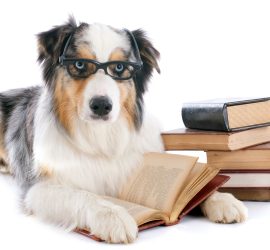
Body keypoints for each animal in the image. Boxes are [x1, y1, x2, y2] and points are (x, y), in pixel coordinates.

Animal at [0, 17, 248, 242]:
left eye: (119, 68)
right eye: (79, 64)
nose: (101, 105)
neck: (101, 136)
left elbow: (194, 187)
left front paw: (220, 199)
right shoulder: (37, 187)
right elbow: (83, 195)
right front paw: (112, 216)